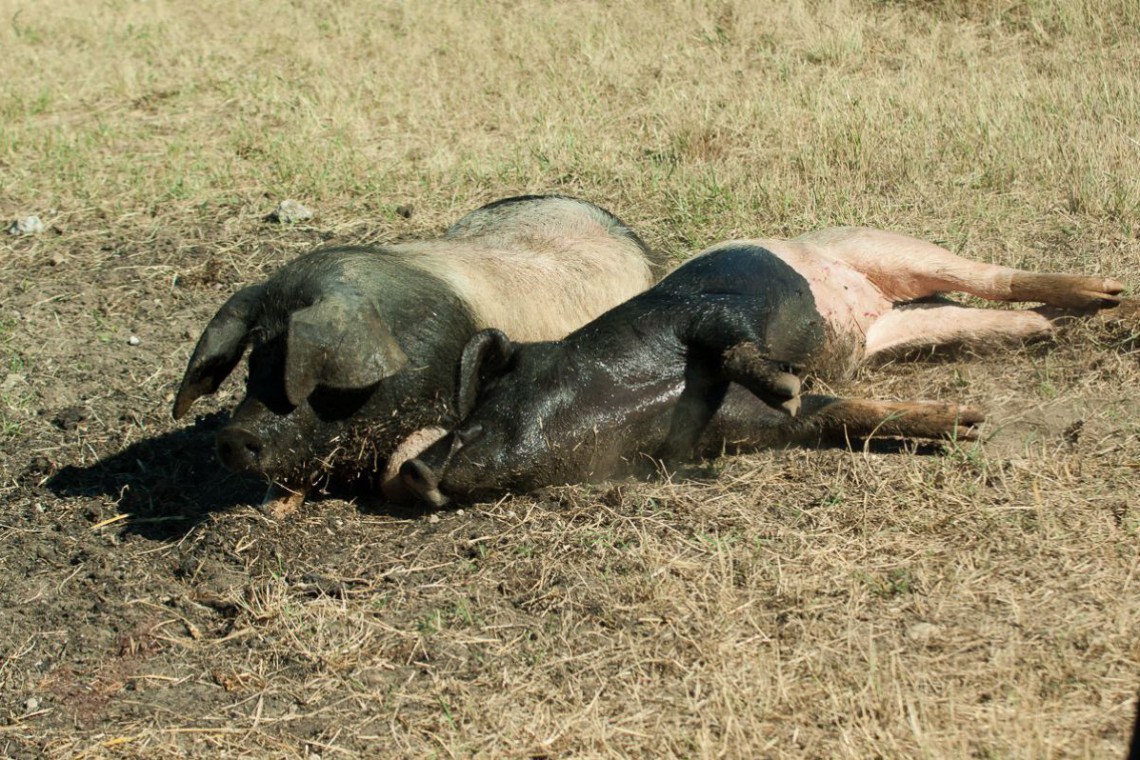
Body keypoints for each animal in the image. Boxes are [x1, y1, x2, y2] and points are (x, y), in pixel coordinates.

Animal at [399, 230, 1121, 505]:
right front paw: (964, 423)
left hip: (882, 244)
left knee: (987, 274)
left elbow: (734, 346)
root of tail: (872, 303)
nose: (407, 471)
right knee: (988, 315)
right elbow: (830, 417)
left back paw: (1110, 294)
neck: (624, 395)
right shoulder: (732, 427)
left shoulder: (706, 311)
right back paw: (1058, 326)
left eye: (496, 390)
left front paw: (787, 383)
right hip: (904, 329)